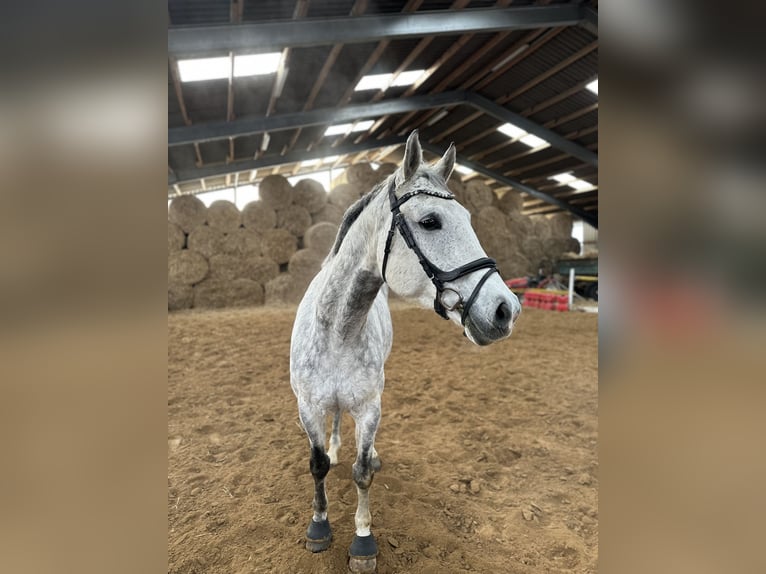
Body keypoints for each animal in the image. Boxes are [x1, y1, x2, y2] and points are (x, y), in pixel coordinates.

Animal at [289, 130, 521, 573]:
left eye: (469, 219)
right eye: (430, 221)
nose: (506, 309)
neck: (338, 332)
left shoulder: (369, 408)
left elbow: (362, 472)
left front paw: (363, 541)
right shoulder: (307, 407)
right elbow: (318, 465)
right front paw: (319, 526)